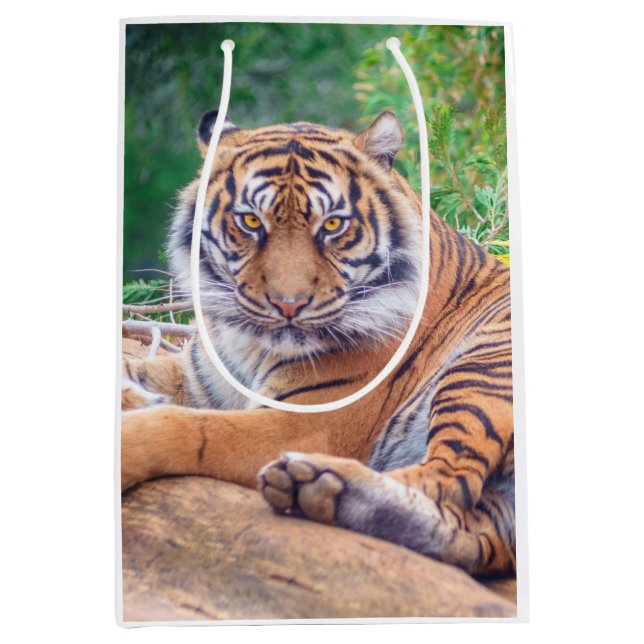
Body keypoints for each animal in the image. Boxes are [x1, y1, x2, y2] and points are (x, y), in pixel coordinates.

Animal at [121, 108, 516, 577]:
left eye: (332, 225)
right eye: (250, 221)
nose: (288, 305)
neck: (248, 342)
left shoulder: (305, 422)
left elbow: (190, 428)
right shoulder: (196, 379)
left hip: (481, 367)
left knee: (449, 480)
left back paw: (318, 477)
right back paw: (321, 491)